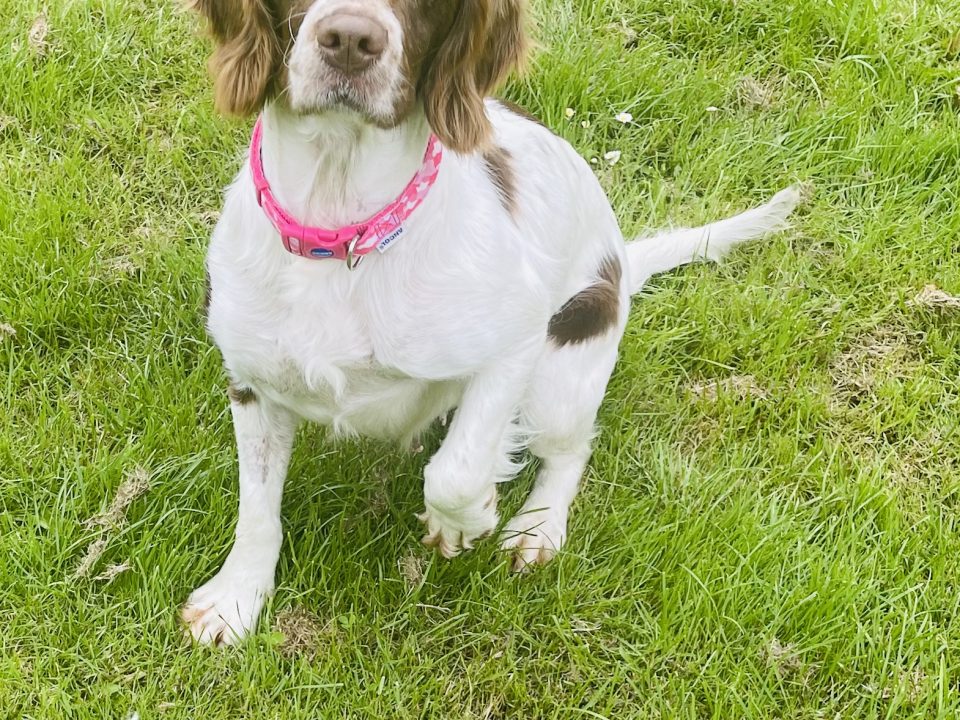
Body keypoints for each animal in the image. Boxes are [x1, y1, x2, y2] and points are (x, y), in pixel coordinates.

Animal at [178, 0, 796, 648]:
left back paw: (538, 526)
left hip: (563, 367)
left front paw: (464, 520)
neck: (343, 232)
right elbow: (257, 509)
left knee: (570, 450)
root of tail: (625, 265)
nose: (350, 40)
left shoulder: (516, 339)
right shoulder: (252, 379)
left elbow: (457, 470)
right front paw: (235, 600)